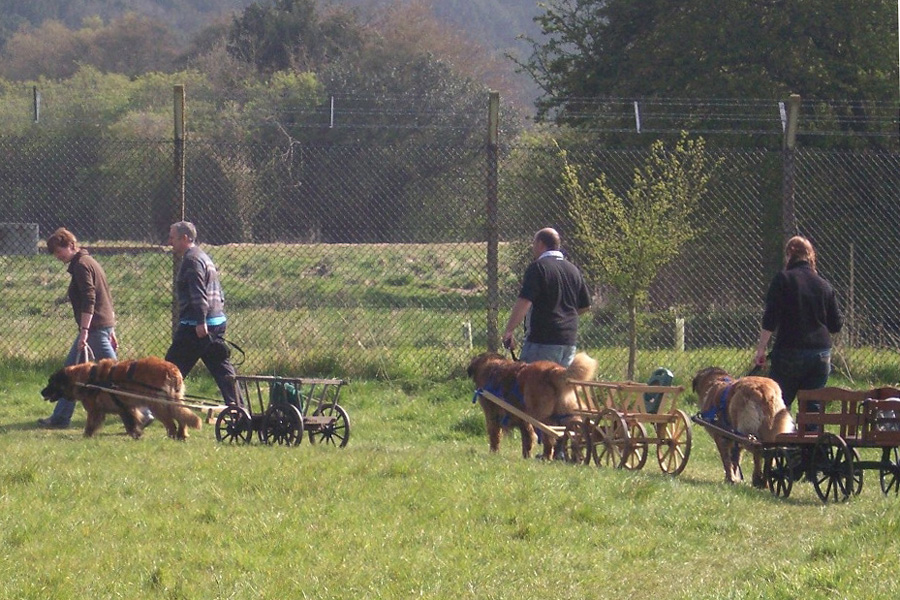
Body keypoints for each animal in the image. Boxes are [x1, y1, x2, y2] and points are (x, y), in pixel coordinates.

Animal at [40, 356, 202, 440]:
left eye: (51, 383)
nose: (42, 392)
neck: (85, 379)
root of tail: (171, 370)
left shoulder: (95, 410)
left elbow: (90, 424)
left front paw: (86, 436)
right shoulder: (125, 408)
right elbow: (130, 422)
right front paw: (136, 434)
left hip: (156, 405)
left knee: (171, 422)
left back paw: (172, 436)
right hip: (173, 400)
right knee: (181, 417)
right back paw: (182, 435)